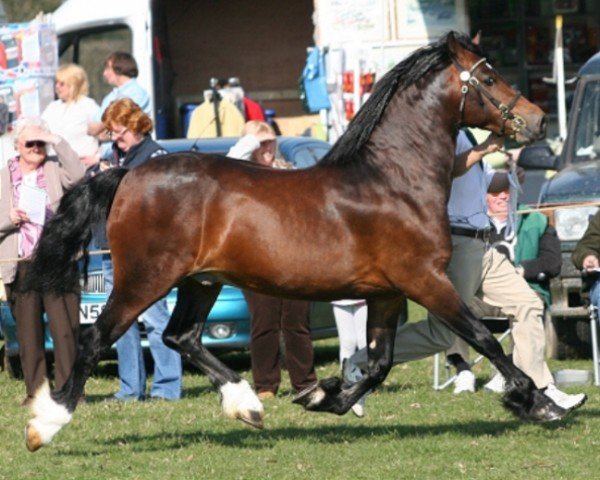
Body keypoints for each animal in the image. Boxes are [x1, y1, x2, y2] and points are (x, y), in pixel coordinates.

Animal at [23, 31, 556, 452]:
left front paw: (322, 395)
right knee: (96, 337)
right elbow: (483, 336)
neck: (393, 180)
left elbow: (379, 363)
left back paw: (247, 405)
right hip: (146, 279)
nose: (539, 120)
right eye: (489, 79)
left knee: (181, 336)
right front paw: (538, 402)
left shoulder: (387, 293)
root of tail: (127, 176)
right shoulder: (424, 280)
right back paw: (44, 425)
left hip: (201, 280)